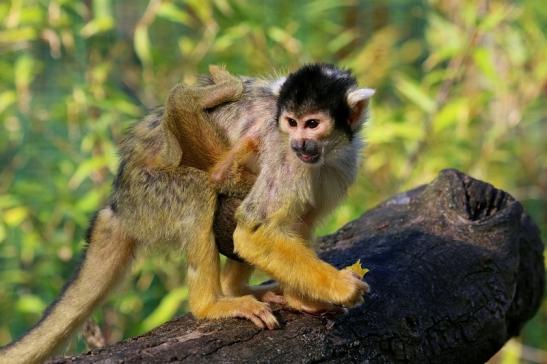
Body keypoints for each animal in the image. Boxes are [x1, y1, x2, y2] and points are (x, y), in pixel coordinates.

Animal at [212, 65, 374, 316]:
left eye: (312, 124)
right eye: (291, 122)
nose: (298, 143)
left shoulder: (343, 165)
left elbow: (301, 220)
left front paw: (302, 299)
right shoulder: (288, 159)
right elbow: (254, 230)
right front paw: (340, 287)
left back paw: (235, 288)